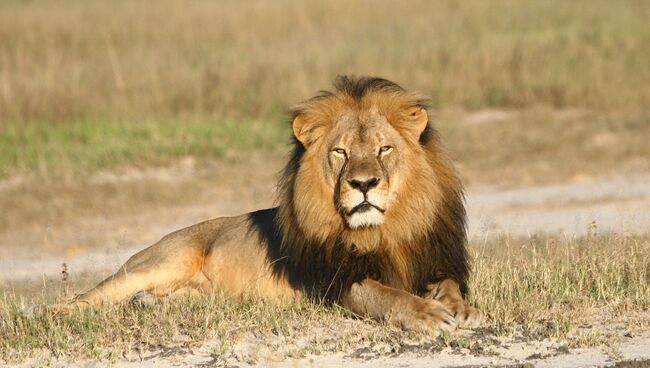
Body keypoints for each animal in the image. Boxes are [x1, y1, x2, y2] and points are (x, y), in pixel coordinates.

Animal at [57, 76, 480, 332]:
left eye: (384, 148)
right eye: (341, 152)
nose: (363, 184)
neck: (385, 231)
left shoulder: (433, 260)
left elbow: (449, 284)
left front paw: (460, 308)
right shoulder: (336, 283)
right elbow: (387, 295)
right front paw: (428, 314)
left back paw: (147, 305)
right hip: (160, 261)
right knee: (87, 297)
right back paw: (53, 315)